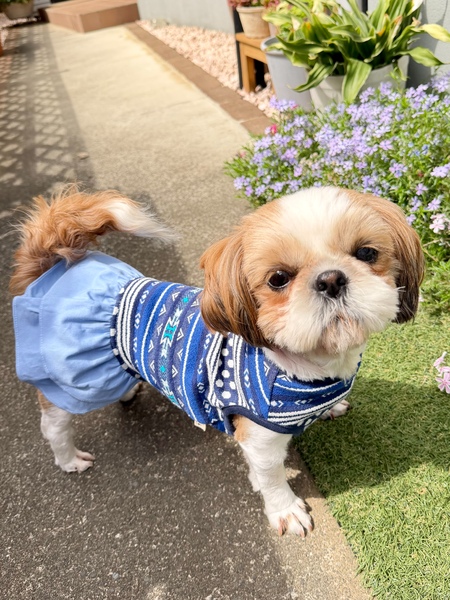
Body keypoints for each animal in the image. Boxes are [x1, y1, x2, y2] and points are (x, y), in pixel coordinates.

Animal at [11, 186, 424, 536]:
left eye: (367, 253)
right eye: (278, 278)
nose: (331, 279)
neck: (303, 367)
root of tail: (56, 265)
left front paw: (330, 408)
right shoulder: (259, 435)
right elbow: (271, 476)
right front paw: (285, 509)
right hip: (76, 381)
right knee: (53, 424)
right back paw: (68, 458)